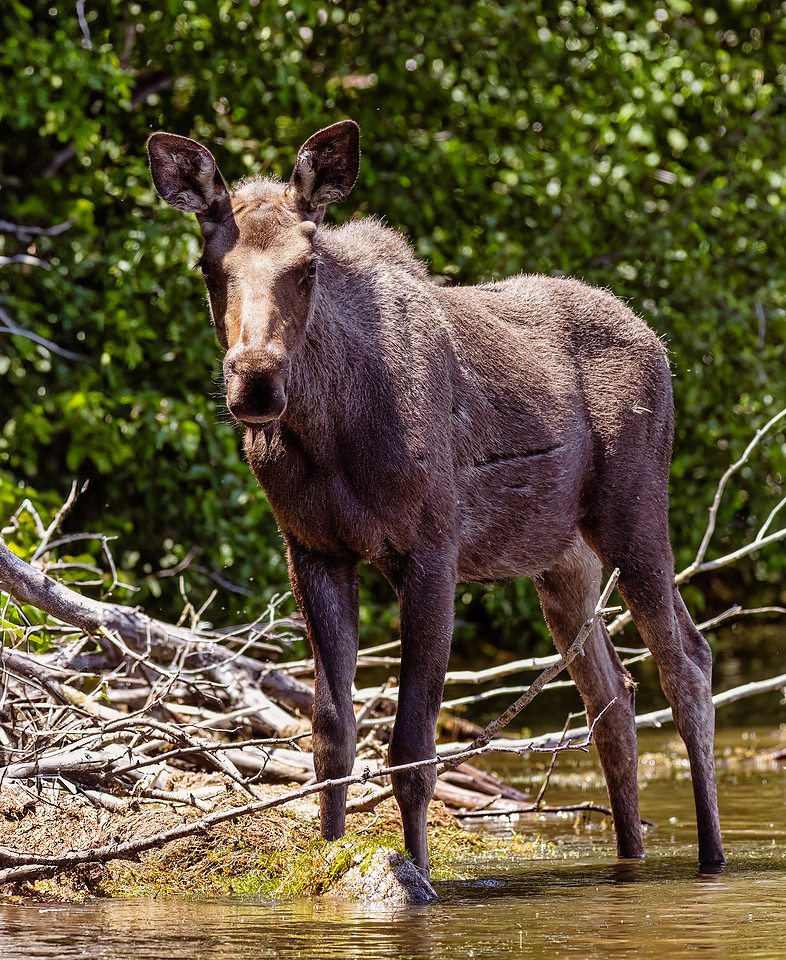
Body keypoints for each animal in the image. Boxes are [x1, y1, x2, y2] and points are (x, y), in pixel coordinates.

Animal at [147, 120, 724, 880]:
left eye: (307, 267)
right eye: (209, 267)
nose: (256, 383)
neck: (330, 430)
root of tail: (659, 344)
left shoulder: (431, 548)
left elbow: (413, 747)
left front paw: (417, 876)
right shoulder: (313, 549)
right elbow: (330, 733)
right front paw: (329, 862)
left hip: (634, 514)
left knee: (687, 662)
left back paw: (712, 856)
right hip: (561, 561)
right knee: (613, 698)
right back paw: (628, 855)